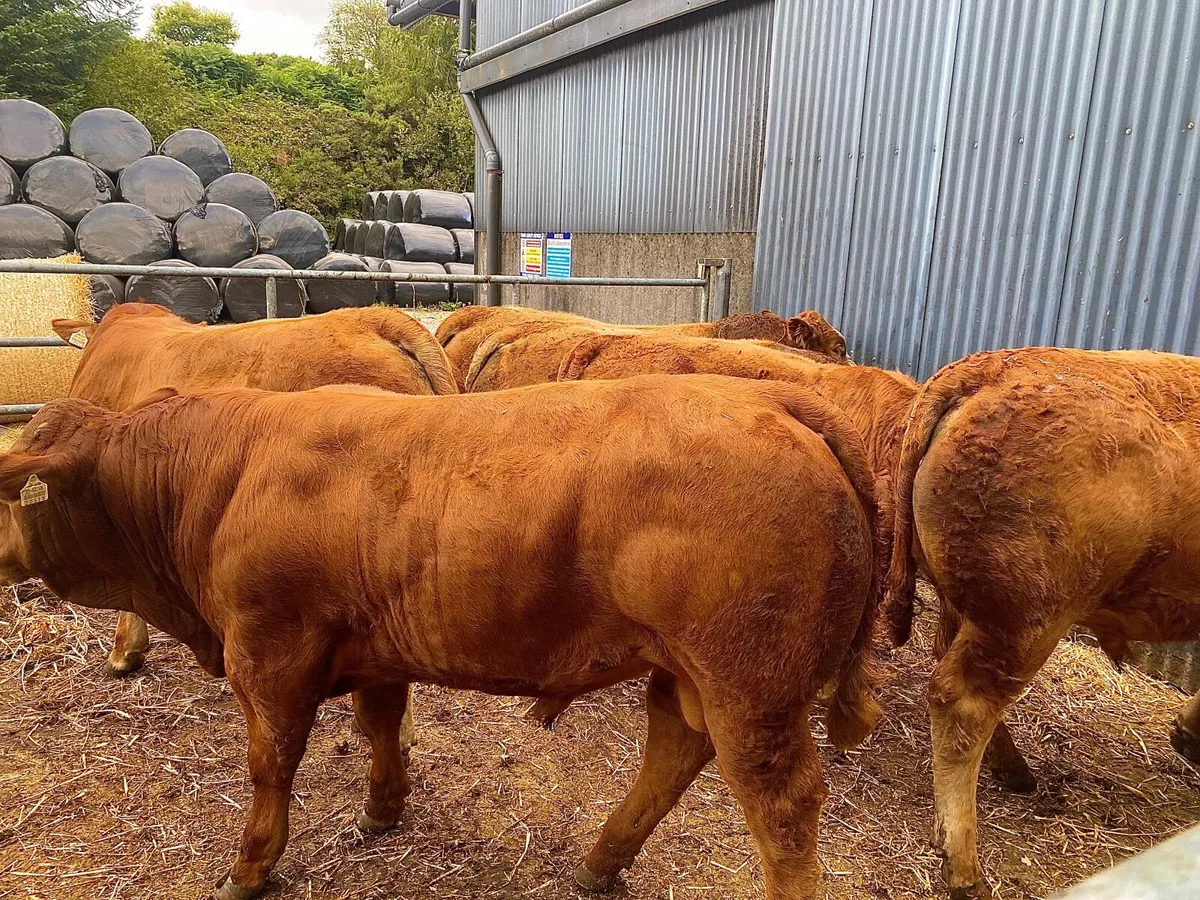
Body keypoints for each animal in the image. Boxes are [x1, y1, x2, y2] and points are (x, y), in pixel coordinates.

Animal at [0, 375, 887, 900]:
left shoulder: (269, 650)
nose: (1, 554)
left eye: (14, 495)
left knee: (782, 809)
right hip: (689, 672)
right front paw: (382, 809)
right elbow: (380, 722)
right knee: (673, 751)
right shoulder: (371, 642)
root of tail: (777, 402)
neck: (220, 474)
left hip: (751, 685)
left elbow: (270, 763)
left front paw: (251, 866)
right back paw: (601, 862)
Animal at [886, 348, 1200, 899]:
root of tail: (984, 372)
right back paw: (964, 866)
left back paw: (1014, 773)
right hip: (1027, 624)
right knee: (962, 703)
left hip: (969, 610)